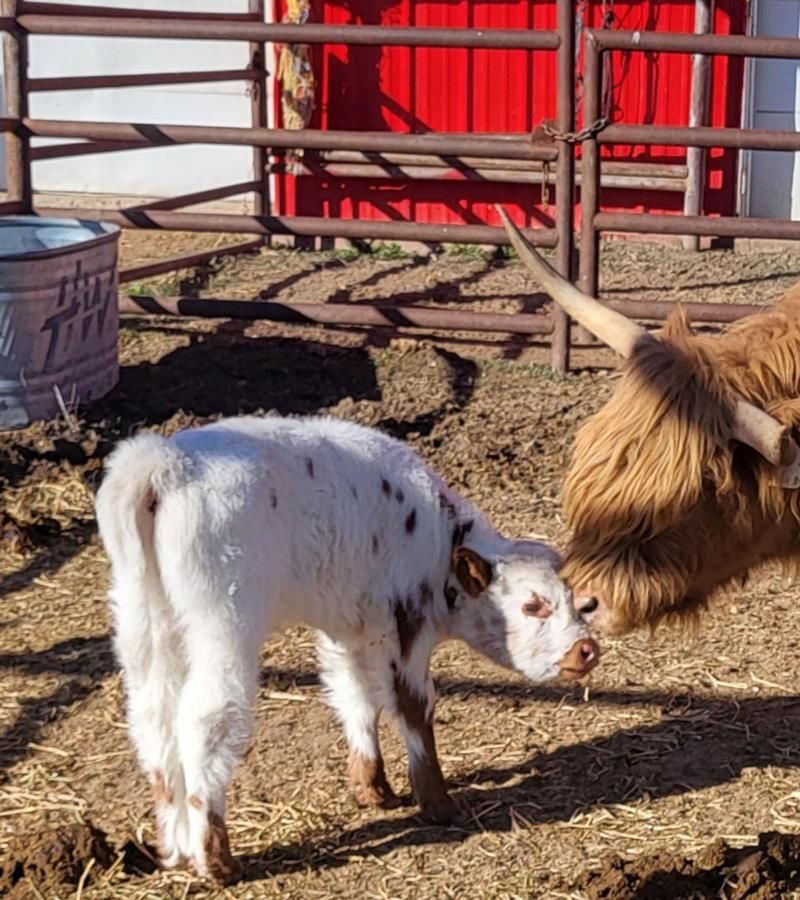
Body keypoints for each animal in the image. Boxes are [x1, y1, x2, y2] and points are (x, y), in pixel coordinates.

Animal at [96, 414, 599, 884]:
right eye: (533, 605)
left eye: (575, 599)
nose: (587, 650)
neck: (436, 539)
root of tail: (165, 461)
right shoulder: (407, 624)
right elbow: (413, 706)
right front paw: (438, 804)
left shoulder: (350, 630)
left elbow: (355, 695)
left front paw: (373, 789)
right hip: (221, 626)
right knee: (206, 721)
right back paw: (216, 859)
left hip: (142, 624)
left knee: (153, 720)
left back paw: (175, 848)